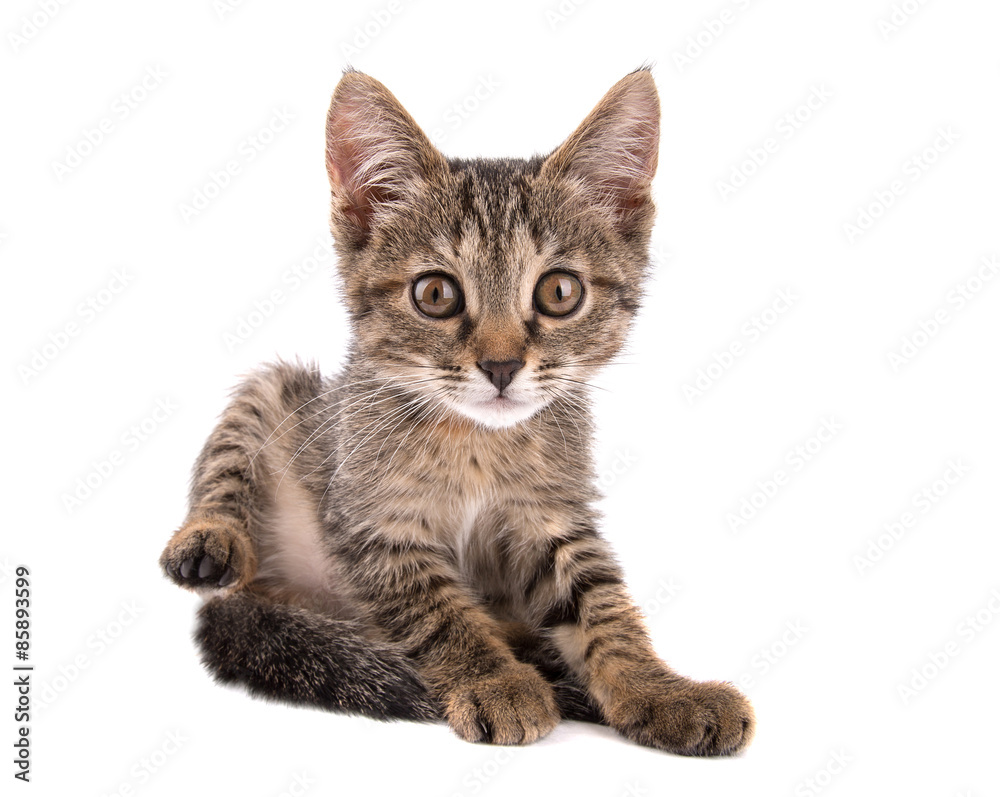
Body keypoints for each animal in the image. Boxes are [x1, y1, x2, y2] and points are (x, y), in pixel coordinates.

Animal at [162, 67, 756, 752]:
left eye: (560, 291)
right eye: (436, 294)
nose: (500, 366)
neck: (477, 441)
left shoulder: (553, 516)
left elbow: (600, 603)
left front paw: (661, 689)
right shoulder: (373, 526)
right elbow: (440, 611)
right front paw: (496, 681)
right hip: (286, 402)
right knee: (231, 453)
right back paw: (210, 540)